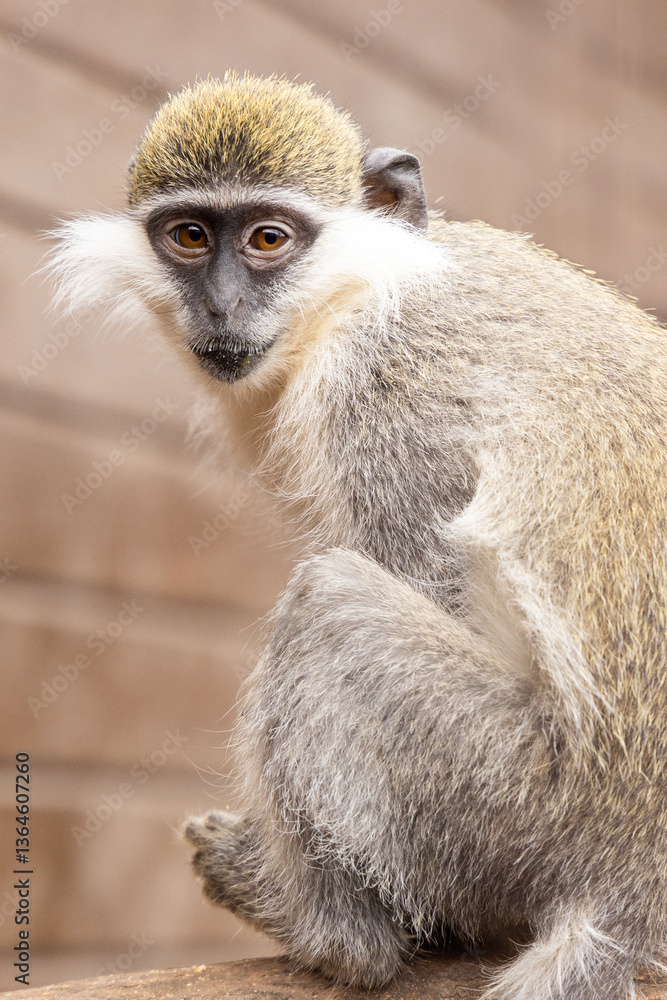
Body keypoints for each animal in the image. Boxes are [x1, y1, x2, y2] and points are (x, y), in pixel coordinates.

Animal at [49, 72, 667, 1000]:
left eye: (268, 239)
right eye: (189, 236)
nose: (221, 305)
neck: (362, 288)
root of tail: (632, 891)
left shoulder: (387, 394)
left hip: (523, 801)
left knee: (329, 602)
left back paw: (330, 933)